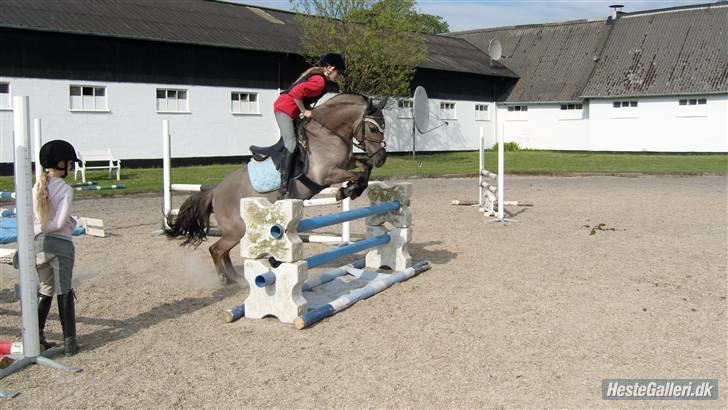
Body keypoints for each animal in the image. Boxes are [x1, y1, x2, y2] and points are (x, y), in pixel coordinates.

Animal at [165, 94, 390, 284]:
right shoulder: (326, 174)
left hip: (239, 230)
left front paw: (351, 189)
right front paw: (346, 191)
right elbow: (357, 175)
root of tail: (214, 192)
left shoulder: (346, 163)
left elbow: (364, 168)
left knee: (224, 251)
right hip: (237, 229)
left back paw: (236, 277)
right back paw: (224, 278)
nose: (381, 158)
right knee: (216, 249)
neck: (327, 133)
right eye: (373, 129)